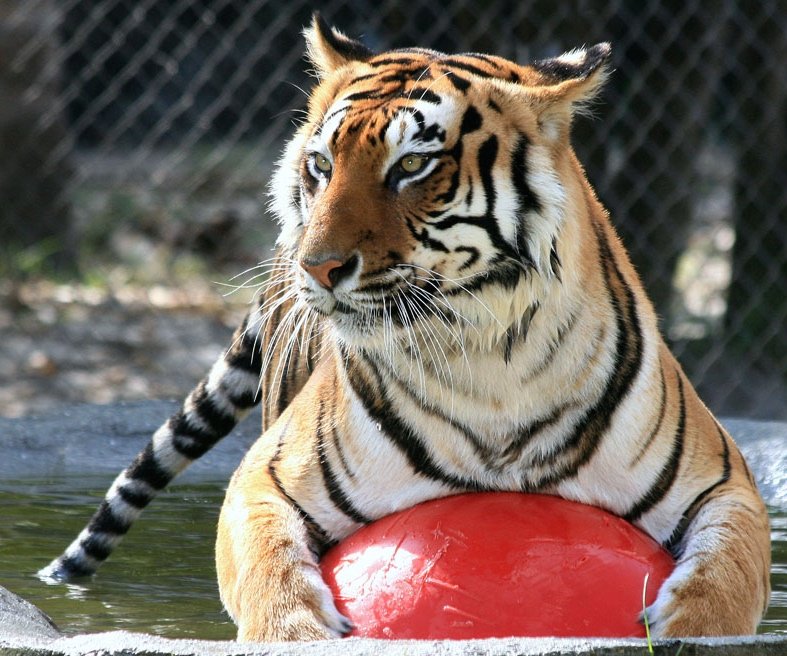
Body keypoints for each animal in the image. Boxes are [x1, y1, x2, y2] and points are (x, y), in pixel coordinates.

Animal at [40, 14, 772, 640]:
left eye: (412, 166)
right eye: (321, 165)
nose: (318, 266)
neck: (491, 355)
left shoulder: (725, 485)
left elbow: (726, 577)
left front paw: (686, 630)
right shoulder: (266, 479)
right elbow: (269, 574)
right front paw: (298, 632)